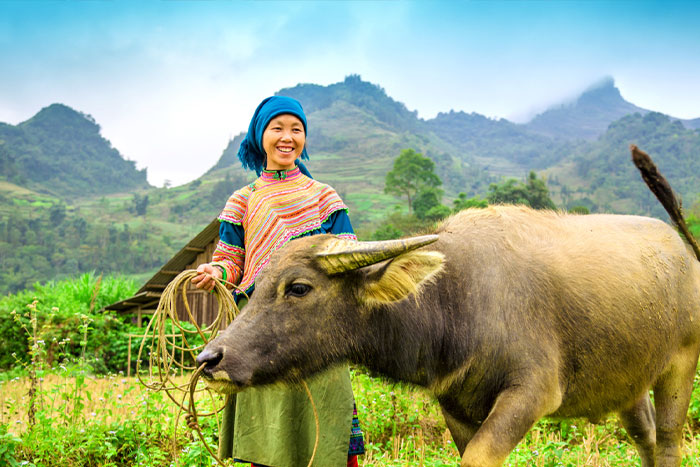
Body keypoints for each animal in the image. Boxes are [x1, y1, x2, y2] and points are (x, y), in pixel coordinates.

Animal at [196, 206, 700, 467]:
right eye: (256, 286)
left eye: (298, 288)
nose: (209, 359)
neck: (456, 299)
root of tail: (681, 251)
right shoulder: (455, 405)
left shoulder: (532, 392)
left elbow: (478, 458)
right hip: (628, 382)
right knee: (645, 437)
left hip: (681, 364)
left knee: (669, 439)